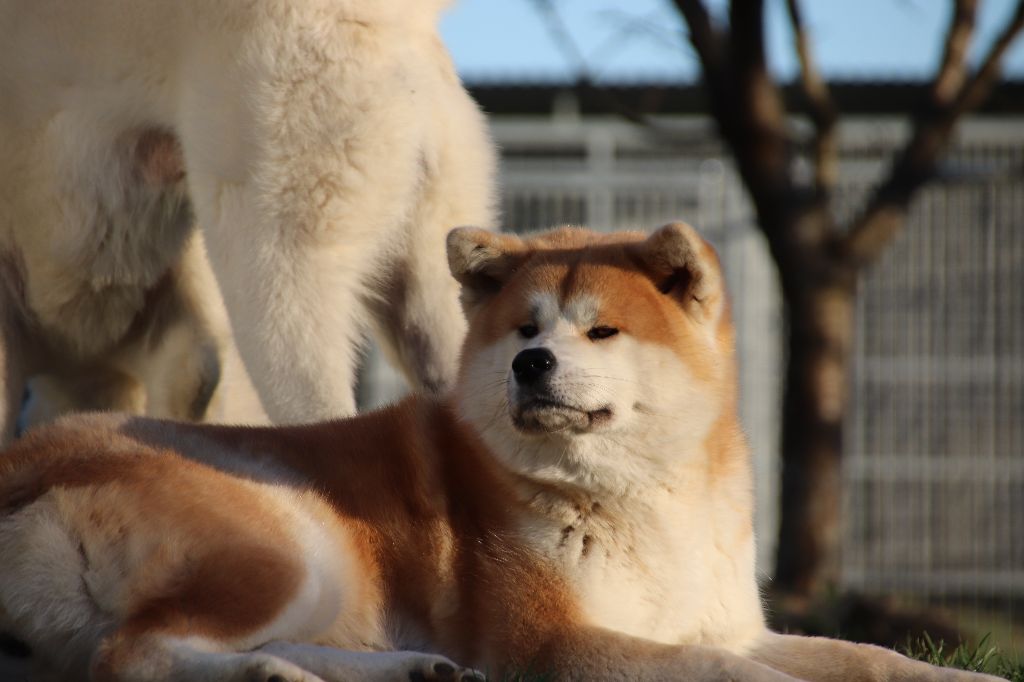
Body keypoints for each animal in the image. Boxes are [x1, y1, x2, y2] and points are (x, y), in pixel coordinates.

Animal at [0, 224, 995, 679]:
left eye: (599, 330)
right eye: (524, 327)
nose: (531, 363)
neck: (643, 497)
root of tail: (27, 458)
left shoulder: (731, 621)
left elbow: (868, 656)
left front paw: (944, 677)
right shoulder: (554, 641)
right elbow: (729, 672)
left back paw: (403, 669)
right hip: (284, 541)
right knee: (132, 652)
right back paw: (266, 674)